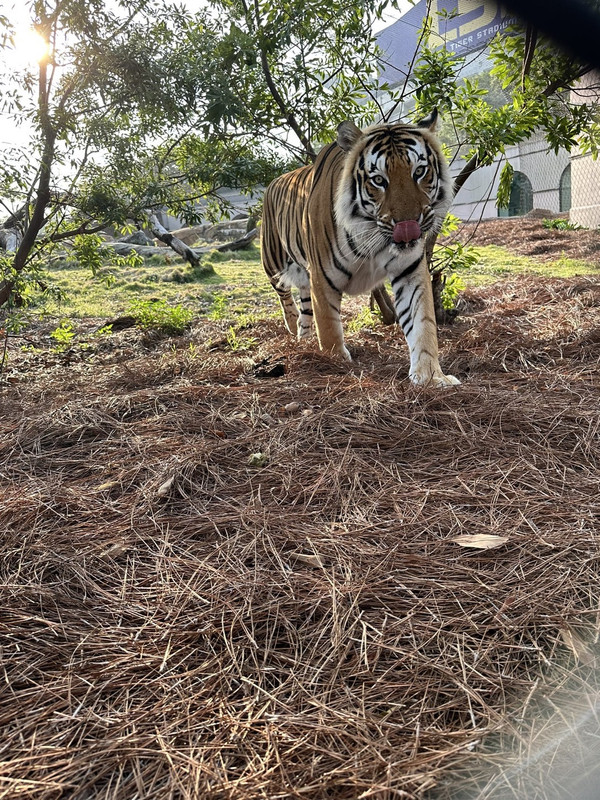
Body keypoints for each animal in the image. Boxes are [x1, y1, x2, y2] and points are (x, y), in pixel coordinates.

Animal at [261, 110, 460, 387]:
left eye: (420, 171)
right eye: (378, 180)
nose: (408, 226)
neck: (374, 235)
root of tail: (273, 183)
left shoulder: (409, 271)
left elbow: (422, 324)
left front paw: (430, 376)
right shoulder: (322, 277)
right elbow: (329, 328)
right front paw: (336, 364)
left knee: (305, 306)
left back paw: (305, 337)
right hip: (272, 261)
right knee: (283, 295)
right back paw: (292, 325)